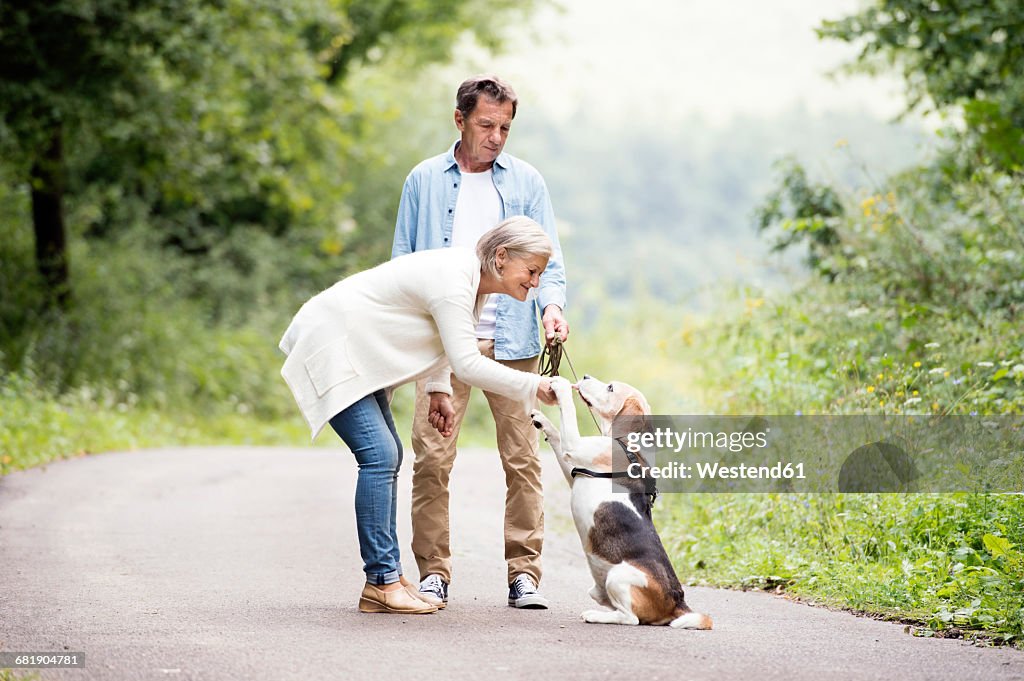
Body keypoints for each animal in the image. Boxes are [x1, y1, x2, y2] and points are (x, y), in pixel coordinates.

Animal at [528, 374, 712, 630]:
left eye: (610, 387)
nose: (584, 376)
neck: (629, 444)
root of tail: (678, 601)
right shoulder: (574, 472)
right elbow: (557, 436)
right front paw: (542, 420)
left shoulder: (576, 446)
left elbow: (569, 413)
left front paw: (560, 385)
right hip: (600, 587)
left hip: (618, 577)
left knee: (631, 619)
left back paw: (595, 616)